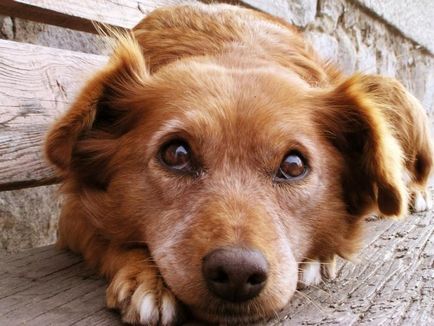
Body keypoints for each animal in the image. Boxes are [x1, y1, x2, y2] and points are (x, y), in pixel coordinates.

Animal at [45, 1, 432, 324]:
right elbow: (108, 236)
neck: (232, 48)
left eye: (294, 165)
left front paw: (319, 255)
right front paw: (147, 280)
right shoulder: (72, 213)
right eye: (176, 154)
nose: (237, 274)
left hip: (389, 89)